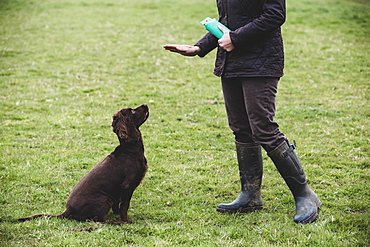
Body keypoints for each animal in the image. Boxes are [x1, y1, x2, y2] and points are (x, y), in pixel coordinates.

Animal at [18, 103, 149, 224]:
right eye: (132, 111)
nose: (145, 104)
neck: (130, 148)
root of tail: (67, 211)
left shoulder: (118, 191)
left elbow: (118, 205)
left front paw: (117, 215)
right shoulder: (127, 186)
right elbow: (124, 207)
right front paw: (126, 221)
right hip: (104, 199)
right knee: (97, 220)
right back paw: (115, 223)